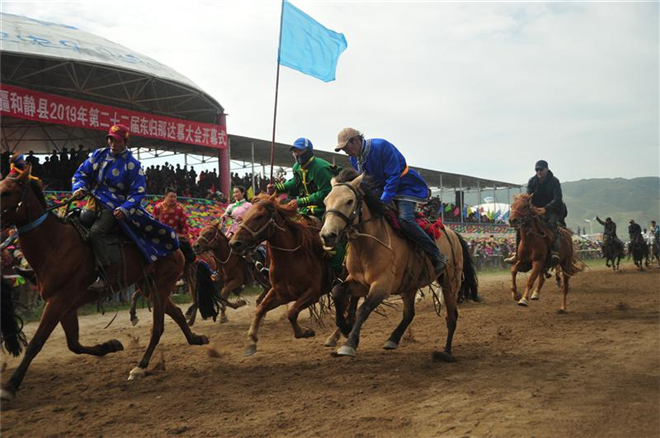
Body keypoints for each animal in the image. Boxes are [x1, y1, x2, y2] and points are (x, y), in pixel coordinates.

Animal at [0, 167, 209, 400]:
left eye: (7, 192)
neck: (55, 244)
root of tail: (178, 244)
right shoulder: (65, 306)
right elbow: (74, 345)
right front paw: (110, 345)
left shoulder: (59, 301)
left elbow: (36, 343)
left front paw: (11, 385)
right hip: (149, 287)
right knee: (177, 314)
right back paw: (196, 339)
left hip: (162, 286)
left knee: (158, 328)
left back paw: (140, 366)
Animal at [228, 194, 346, 356]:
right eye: (245, 215)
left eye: (259, 216)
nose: (235, 243)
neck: (292, 257)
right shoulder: (281, 294)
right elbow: (260, 309)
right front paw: (251, 341)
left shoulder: (312, 293)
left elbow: (291, 312)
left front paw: (306, 332)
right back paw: (335, 336)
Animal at [320, 171, 480, 362]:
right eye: (326, 201)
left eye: (349, 201)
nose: (327, 235)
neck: (368, 245)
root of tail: (453, 233)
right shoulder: (359, 283)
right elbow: (338, 292)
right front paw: (344, 329)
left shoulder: (382, 285)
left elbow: (363, 309)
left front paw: (350, 343)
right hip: (409, 286)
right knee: (409, 313)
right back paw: (393, 339)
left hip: (451, 283)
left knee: (451, 317)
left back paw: (446, 352)